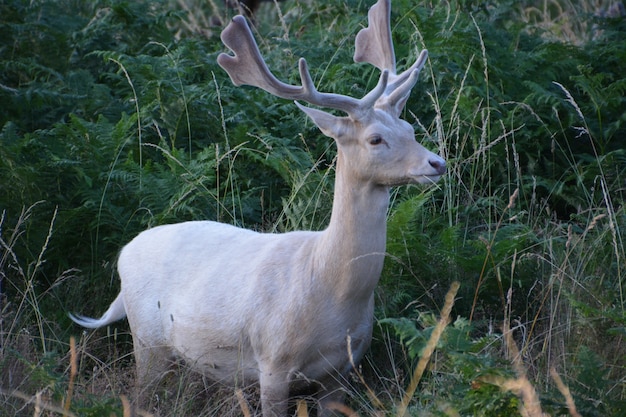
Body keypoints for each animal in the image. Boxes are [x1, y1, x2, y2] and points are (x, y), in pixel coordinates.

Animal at [69, 0, 444, 414]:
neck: (331, 291)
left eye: (409, 129)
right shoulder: (273, 362)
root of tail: (124, 253)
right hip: (147, 340)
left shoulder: (342, 370)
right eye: (375, 139)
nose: (436, 163)